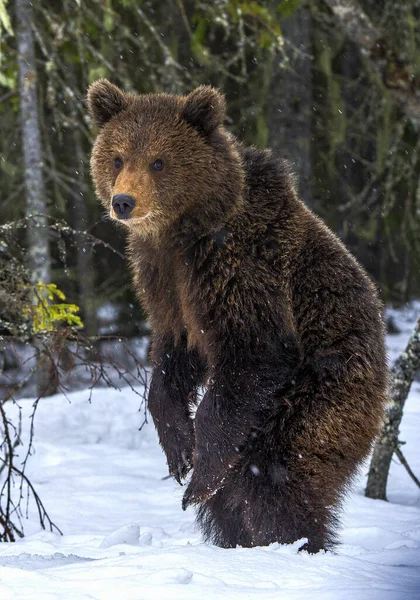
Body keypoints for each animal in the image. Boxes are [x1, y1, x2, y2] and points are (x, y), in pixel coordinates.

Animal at [88, 79, 388, 552]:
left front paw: (197, 476)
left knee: (276, 478)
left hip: (320, 393)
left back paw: (292, 542)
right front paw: (179, 450)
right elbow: (173, 358)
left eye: (158, 161)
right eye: (117, 157)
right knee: (235, 496)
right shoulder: (163, 282)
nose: (123, 201)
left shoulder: (240, 269)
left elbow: (254, 355)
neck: (183, 232)